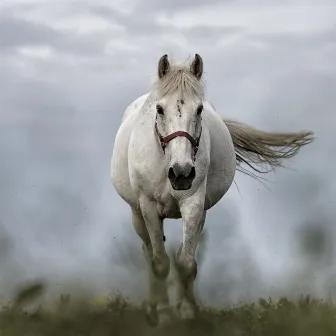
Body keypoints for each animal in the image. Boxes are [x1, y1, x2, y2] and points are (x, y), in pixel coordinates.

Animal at [111, 54, 316, 326]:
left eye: (199, 109)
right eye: (159, 109)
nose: (181, 173)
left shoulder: (193, 204)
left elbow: (186, 262)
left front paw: (187, 312)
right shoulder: (149, 207)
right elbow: (160, 263)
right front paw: (164, 315)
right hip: (137, 214)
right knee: (148, 253)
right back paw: (153, 306)